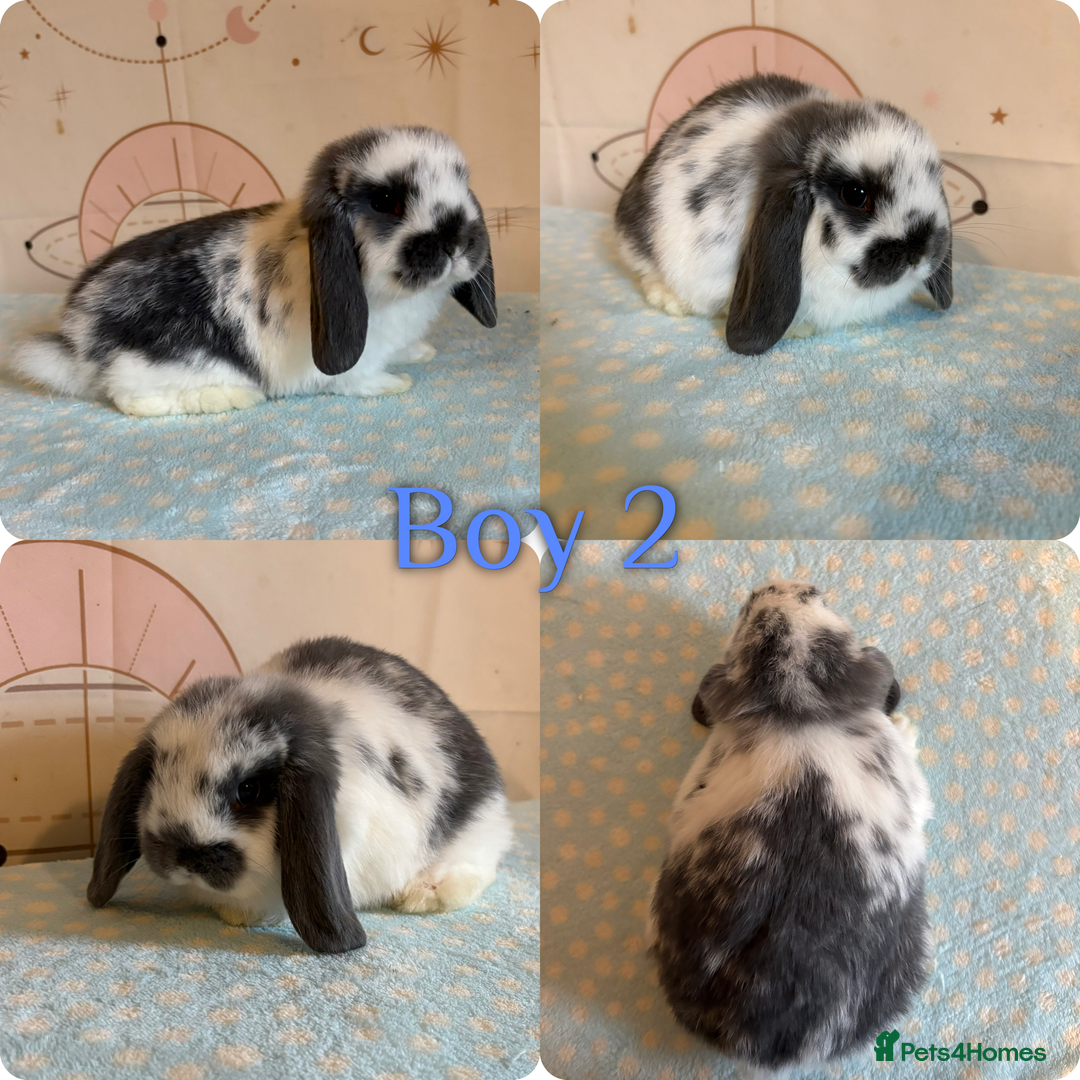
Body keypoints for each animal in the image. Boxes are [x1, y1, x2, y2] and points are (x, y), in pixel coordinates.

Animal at [10, 126, 497, 417]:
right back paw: (232, 396)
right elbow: (359, 380)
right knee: (133, 401)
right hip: (168, 364)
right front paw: (394, 383)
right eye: (386, 202)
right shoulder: (353, 358)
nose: (457, 240)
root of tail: (76, 342)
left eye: (463, 183)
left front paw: (419, 352)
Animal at [86, 636, 514, 954]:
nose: (185, 857)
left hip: (476, 830)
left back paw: (424, 893)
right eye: (155, 776)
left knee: (478, 867)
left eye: (249, 789)